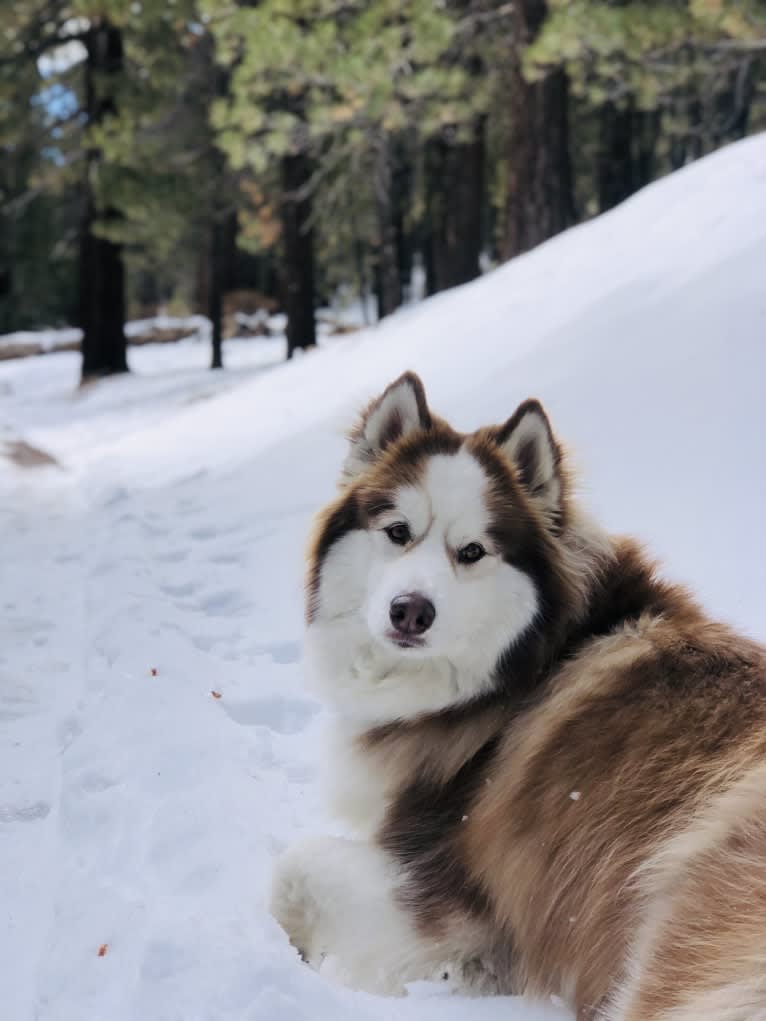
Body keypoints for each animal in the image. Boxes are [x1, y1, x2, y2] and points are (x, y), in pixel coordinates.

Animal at [269, 375, 766, 1021]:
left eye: (472, 551)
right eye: (398, 532)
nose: (410, 611)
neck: (528, 664)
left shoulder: (453, 908)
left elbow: (290, 870)